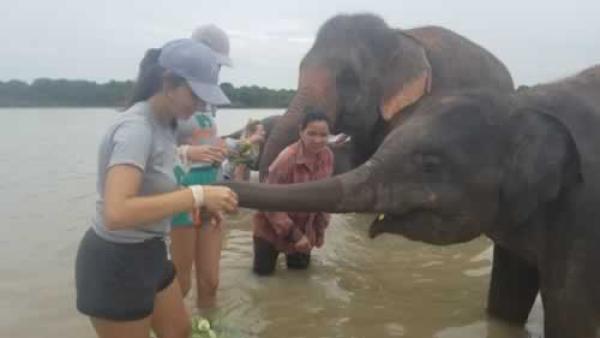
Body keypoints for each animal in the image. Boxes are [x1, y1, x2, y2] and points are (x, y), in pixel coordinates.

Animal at [223, 64, 600, 336]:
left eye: (430, 165)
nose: (223, 187)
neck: (525, 104)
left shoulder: (584, 213)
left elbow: (567, 306)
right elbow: (507, 297)